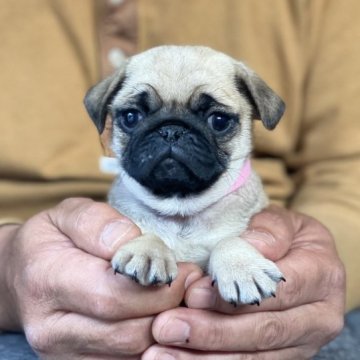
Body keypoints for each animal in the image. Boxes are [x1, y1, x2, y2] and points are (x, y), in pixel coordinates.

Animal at [83, 43, 286, 306]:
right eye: (131, 117)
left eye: (219, 121)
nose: (171, 130)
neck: (180, 206)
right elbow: (148, 233)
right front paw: (147, 250)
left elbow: (229, 240)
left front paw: (242, 266)